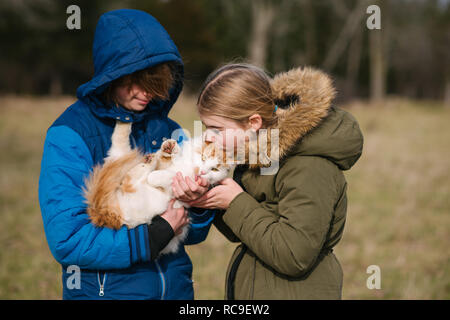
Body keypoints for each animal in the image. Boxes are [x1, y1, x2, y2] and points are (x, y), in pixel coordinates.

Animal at [82, 120, 234, 255]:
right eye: (203, 157)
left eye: (215, 169)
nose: (201, 171)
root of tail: (102, 213)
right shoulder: (170, 164)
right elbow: (168, 160)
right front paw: (169, 147)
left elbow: (165, 176)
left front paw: (159, 171)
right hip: (118, 161)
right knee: (120, 144)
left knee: (133, 173)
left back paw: (148, 160)